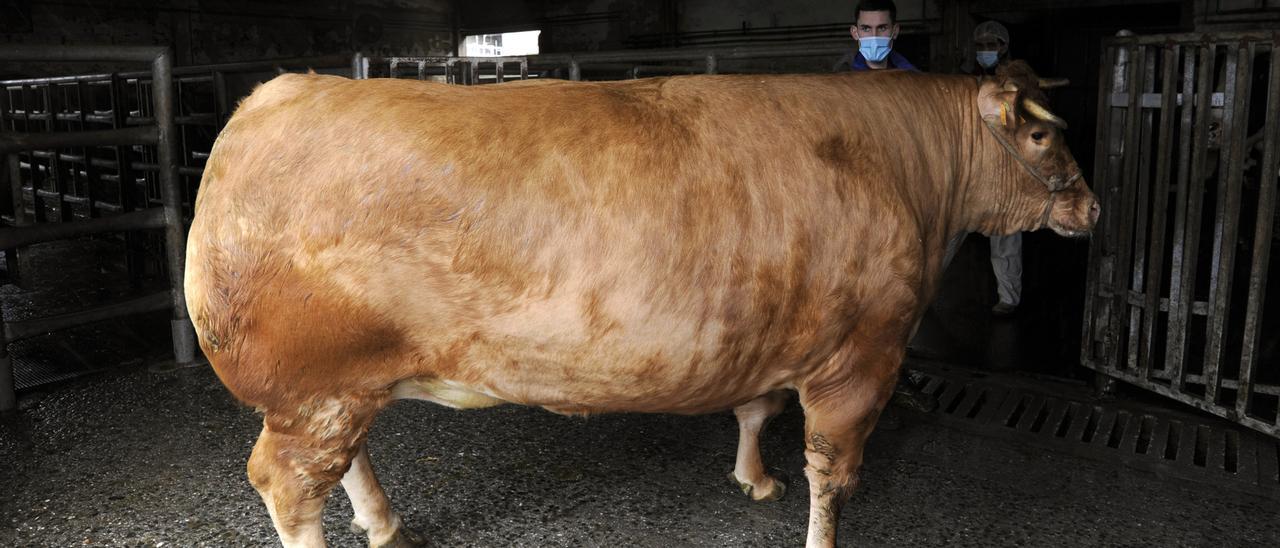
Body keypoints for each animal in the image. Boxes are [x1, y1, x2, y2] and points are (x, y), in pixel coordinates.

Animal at [183, 65, 1100, 548]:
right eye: (1043, 134)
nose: (1094, 208)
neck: (909, 172)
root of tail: (270, 96)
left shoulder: (772, 336)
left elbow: (757, 412)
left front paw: (753, 478)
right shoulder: (863, 357)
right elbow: (834, 472)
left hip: (343, 384)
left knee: (348, 461)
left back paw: (385, 523)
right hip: (311, 386)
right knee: (288, 485)